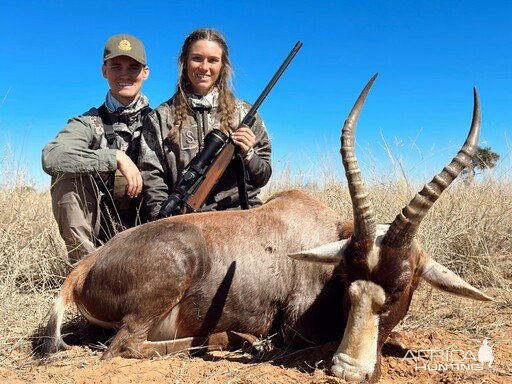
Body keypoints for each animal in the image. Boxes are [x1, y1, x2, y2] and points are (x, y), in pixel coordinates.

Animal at [38, 73, 490, 382]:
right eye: (347, 282)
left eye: (400, 288)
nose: (347, 371)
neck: (319, 227)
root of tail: (86, 267)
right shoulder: (297, 328)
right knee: (123, 347)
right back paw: (240, 340)